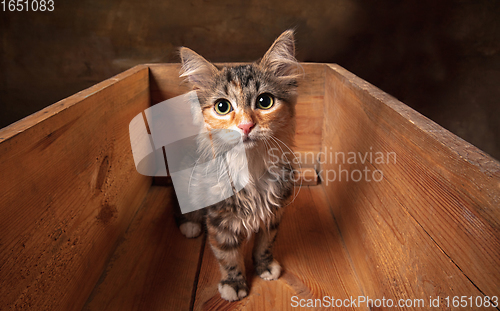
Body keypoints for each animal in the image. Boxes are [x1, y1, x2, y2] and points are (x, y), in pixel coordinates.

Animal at [177, 29, 298, 302]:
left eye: (265, 101)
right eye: (222, 106)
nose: (245, 126)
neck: (250, 168)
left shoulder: (274, 213)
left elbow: (265, 244)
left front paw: (265, 266)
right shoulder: (219, 221)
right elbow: (228, 256)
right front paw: (234, 282)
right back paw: (190, 225)